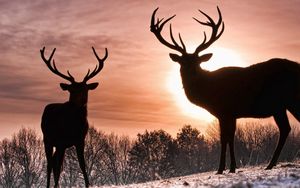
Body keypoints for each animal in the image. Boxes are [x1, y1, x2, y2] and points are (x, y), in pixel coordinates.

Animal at [39, 46, 108, 187]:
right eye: (72, 90)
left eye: (85, 88)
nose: (79, 101)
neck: (74, 125)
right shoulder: (60, 140)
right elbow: (58, 168)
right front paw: (55, 186)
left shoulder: (80, 140)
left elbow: (83, 165)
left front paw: (88, 184)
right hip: (47, 139)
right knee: (50, 164)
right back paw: (49, 185)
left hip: (60, 145)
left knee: (53, 162)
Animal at [151, 6, 300, 175]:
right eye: (182, 62)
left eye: (197, 61)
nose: (192, 73)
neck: (209, 93)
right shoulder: (229, 114)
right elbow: (229, 137)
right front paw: (230, 167)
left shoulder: (226, 111)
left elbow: (225, 138)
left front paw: (224, 168)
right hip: (283, 105)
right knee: (287, 128)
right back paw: (270, 164)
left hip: (287, 100)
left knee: (287, 127)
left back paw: (270, 164)